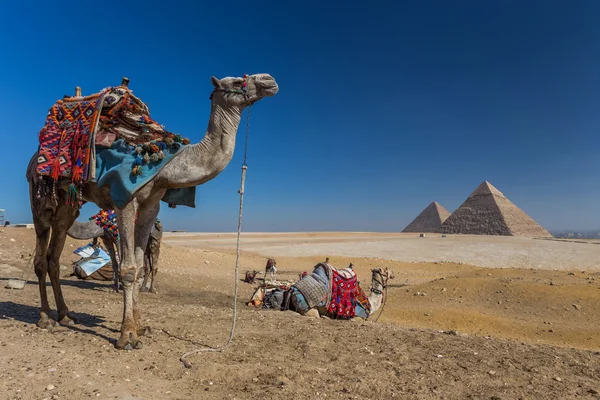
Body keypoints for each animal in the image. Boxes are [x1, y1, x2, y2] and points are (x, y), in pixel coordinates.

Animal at [23, 73, 276, 348]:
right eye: (239, 81)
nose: (269, 80)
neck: (169, 165)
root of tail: (35, 158)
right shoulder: (124, 197)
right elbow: (128, 268)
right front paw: (127, 335)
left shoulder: (151, 205)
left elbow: (140, 265)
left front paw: (141, 326)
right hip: (40, 195)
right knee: (40, 257)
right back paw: (45, 318)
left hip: (69, 206)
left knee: (54, 255)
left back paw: (66, 316)